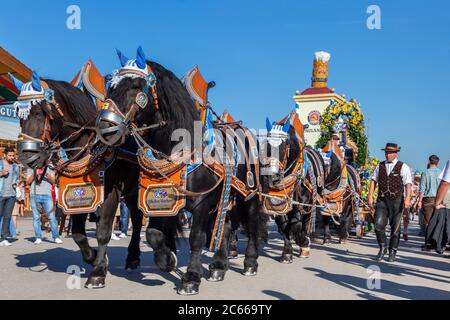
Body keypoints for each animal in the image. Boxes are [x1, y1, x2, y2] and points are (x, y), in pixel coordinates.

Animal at [98, 49, 266, 296]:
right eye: (111, 85)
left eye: (136, 85)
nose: (105, 126)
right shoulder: (160, 199)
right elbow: (153, 234)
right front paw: (167, 260)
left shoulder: (202, 202)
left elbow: (197, 238)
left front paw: (191, 278)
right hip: (225, 197)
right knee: (225, 227)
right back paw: (218, 266)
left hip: (249, 196)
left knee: (252, 226)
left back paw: (251, 263)